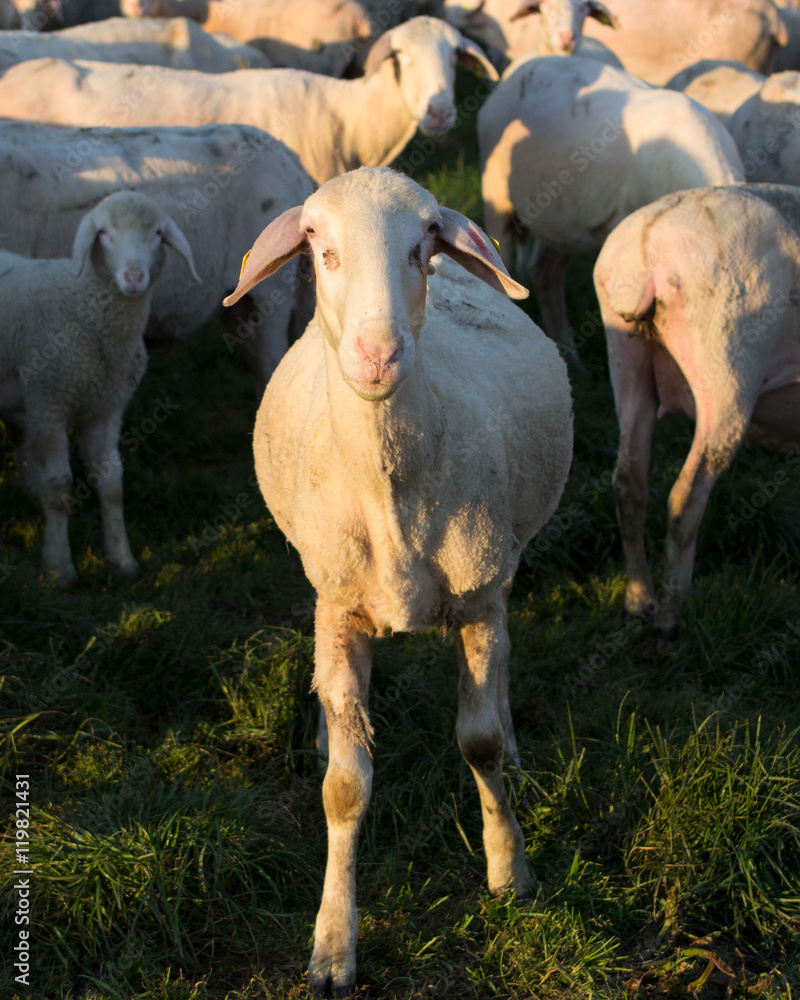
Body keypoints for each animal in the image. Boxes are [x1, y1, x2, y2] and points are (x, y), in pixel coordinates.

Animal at [0, 191, 199, 586]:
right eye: (104, 233)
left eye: (157, 233)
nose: (134, 276)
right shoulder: (48, 401)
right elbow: (58, 487)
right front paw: (59, 568)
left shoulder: (105, 408)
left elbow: (111, 484)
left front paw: (121, 560)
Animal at [222, 166, 573, 994]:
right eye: (319, 248)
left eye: (422, 244)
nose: (377, 355)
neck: (392, 491)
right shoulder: (339, 609)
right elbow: (345, 788)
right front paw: (332, 946)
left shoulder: (477, 598)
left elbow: (477, 742)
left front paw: (510, 871)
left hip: (502, 567)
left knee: (502, 672)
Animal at [594, 183, 800, 638]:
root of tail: (646, 251)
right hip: (728, 364)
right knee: (685, 496)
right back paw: (671, 615)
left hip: (627, 357)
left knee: (627, 483)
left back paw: (639, 601)